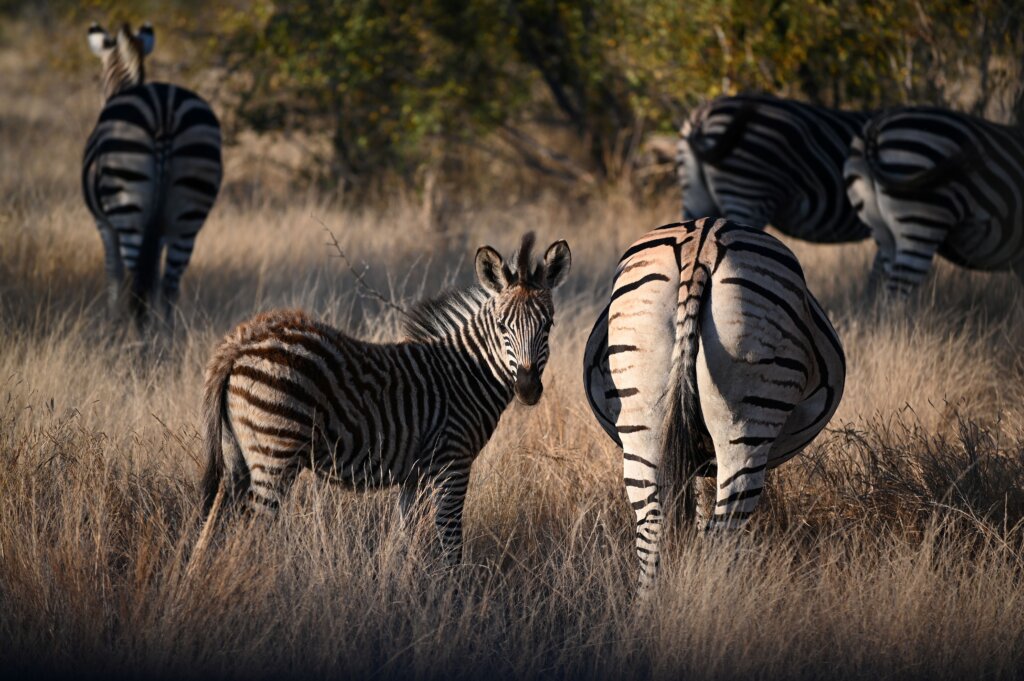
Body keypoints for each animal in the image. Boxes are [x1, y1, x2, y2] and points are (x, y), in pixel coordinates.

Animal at [82, 22, 222, 327]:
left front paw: (111, 324)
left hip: (127, 201)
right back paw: (165, 336)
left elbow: (113, 274)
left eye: (97, 79)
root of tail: (163, 109)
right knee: (169, 285)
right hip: (189, 212)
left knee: (135, 282)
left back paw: (138, 336)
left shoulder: (103, 223)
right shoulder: (158, 233)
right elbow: (155, 277)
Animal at [192, 233, 573, 561]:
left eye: (548, 325)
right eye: (502, 326)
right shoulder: (453, 463)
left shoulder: (414, 475)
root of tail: (241, 340)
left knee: (210, 531)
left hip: (238, 456)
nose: (527, 388)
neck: (467, 373)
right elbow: (451, 544)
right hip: (276, 453)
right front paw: (454, 597)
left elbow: (403, 542)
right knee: (252, 534)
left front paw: (399, 589)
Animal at [581, 219, 843, 593]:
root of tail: (702, 238)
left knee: (652, 524)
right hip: (747, 417)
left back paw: (650, 604)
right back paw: (716, 599)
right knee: (723, 532)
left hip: (640, 415)